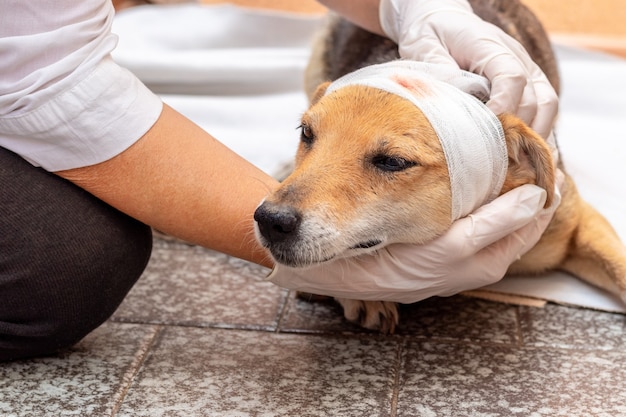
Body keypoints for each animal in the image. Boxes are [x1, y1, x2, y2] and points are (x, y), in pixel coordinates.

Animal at [251, 0, 620, 332]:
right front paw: (358, 292)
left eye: (394, 162)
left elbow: (619, 267)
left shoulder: (577, 221)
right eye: (306, 133)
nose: (271, 220)